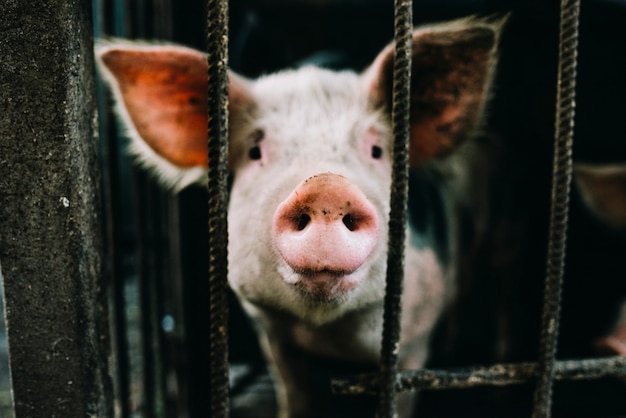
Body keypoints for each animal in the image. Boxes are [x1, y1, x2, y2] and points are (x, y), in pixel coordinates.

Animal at [97, 17, 504, 418]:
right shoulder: (273, 334)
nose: (326, 188)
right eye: (255, 151)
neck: (329, 334)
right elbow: (293, 391)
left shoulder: (415, 342)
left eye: (377, 150)